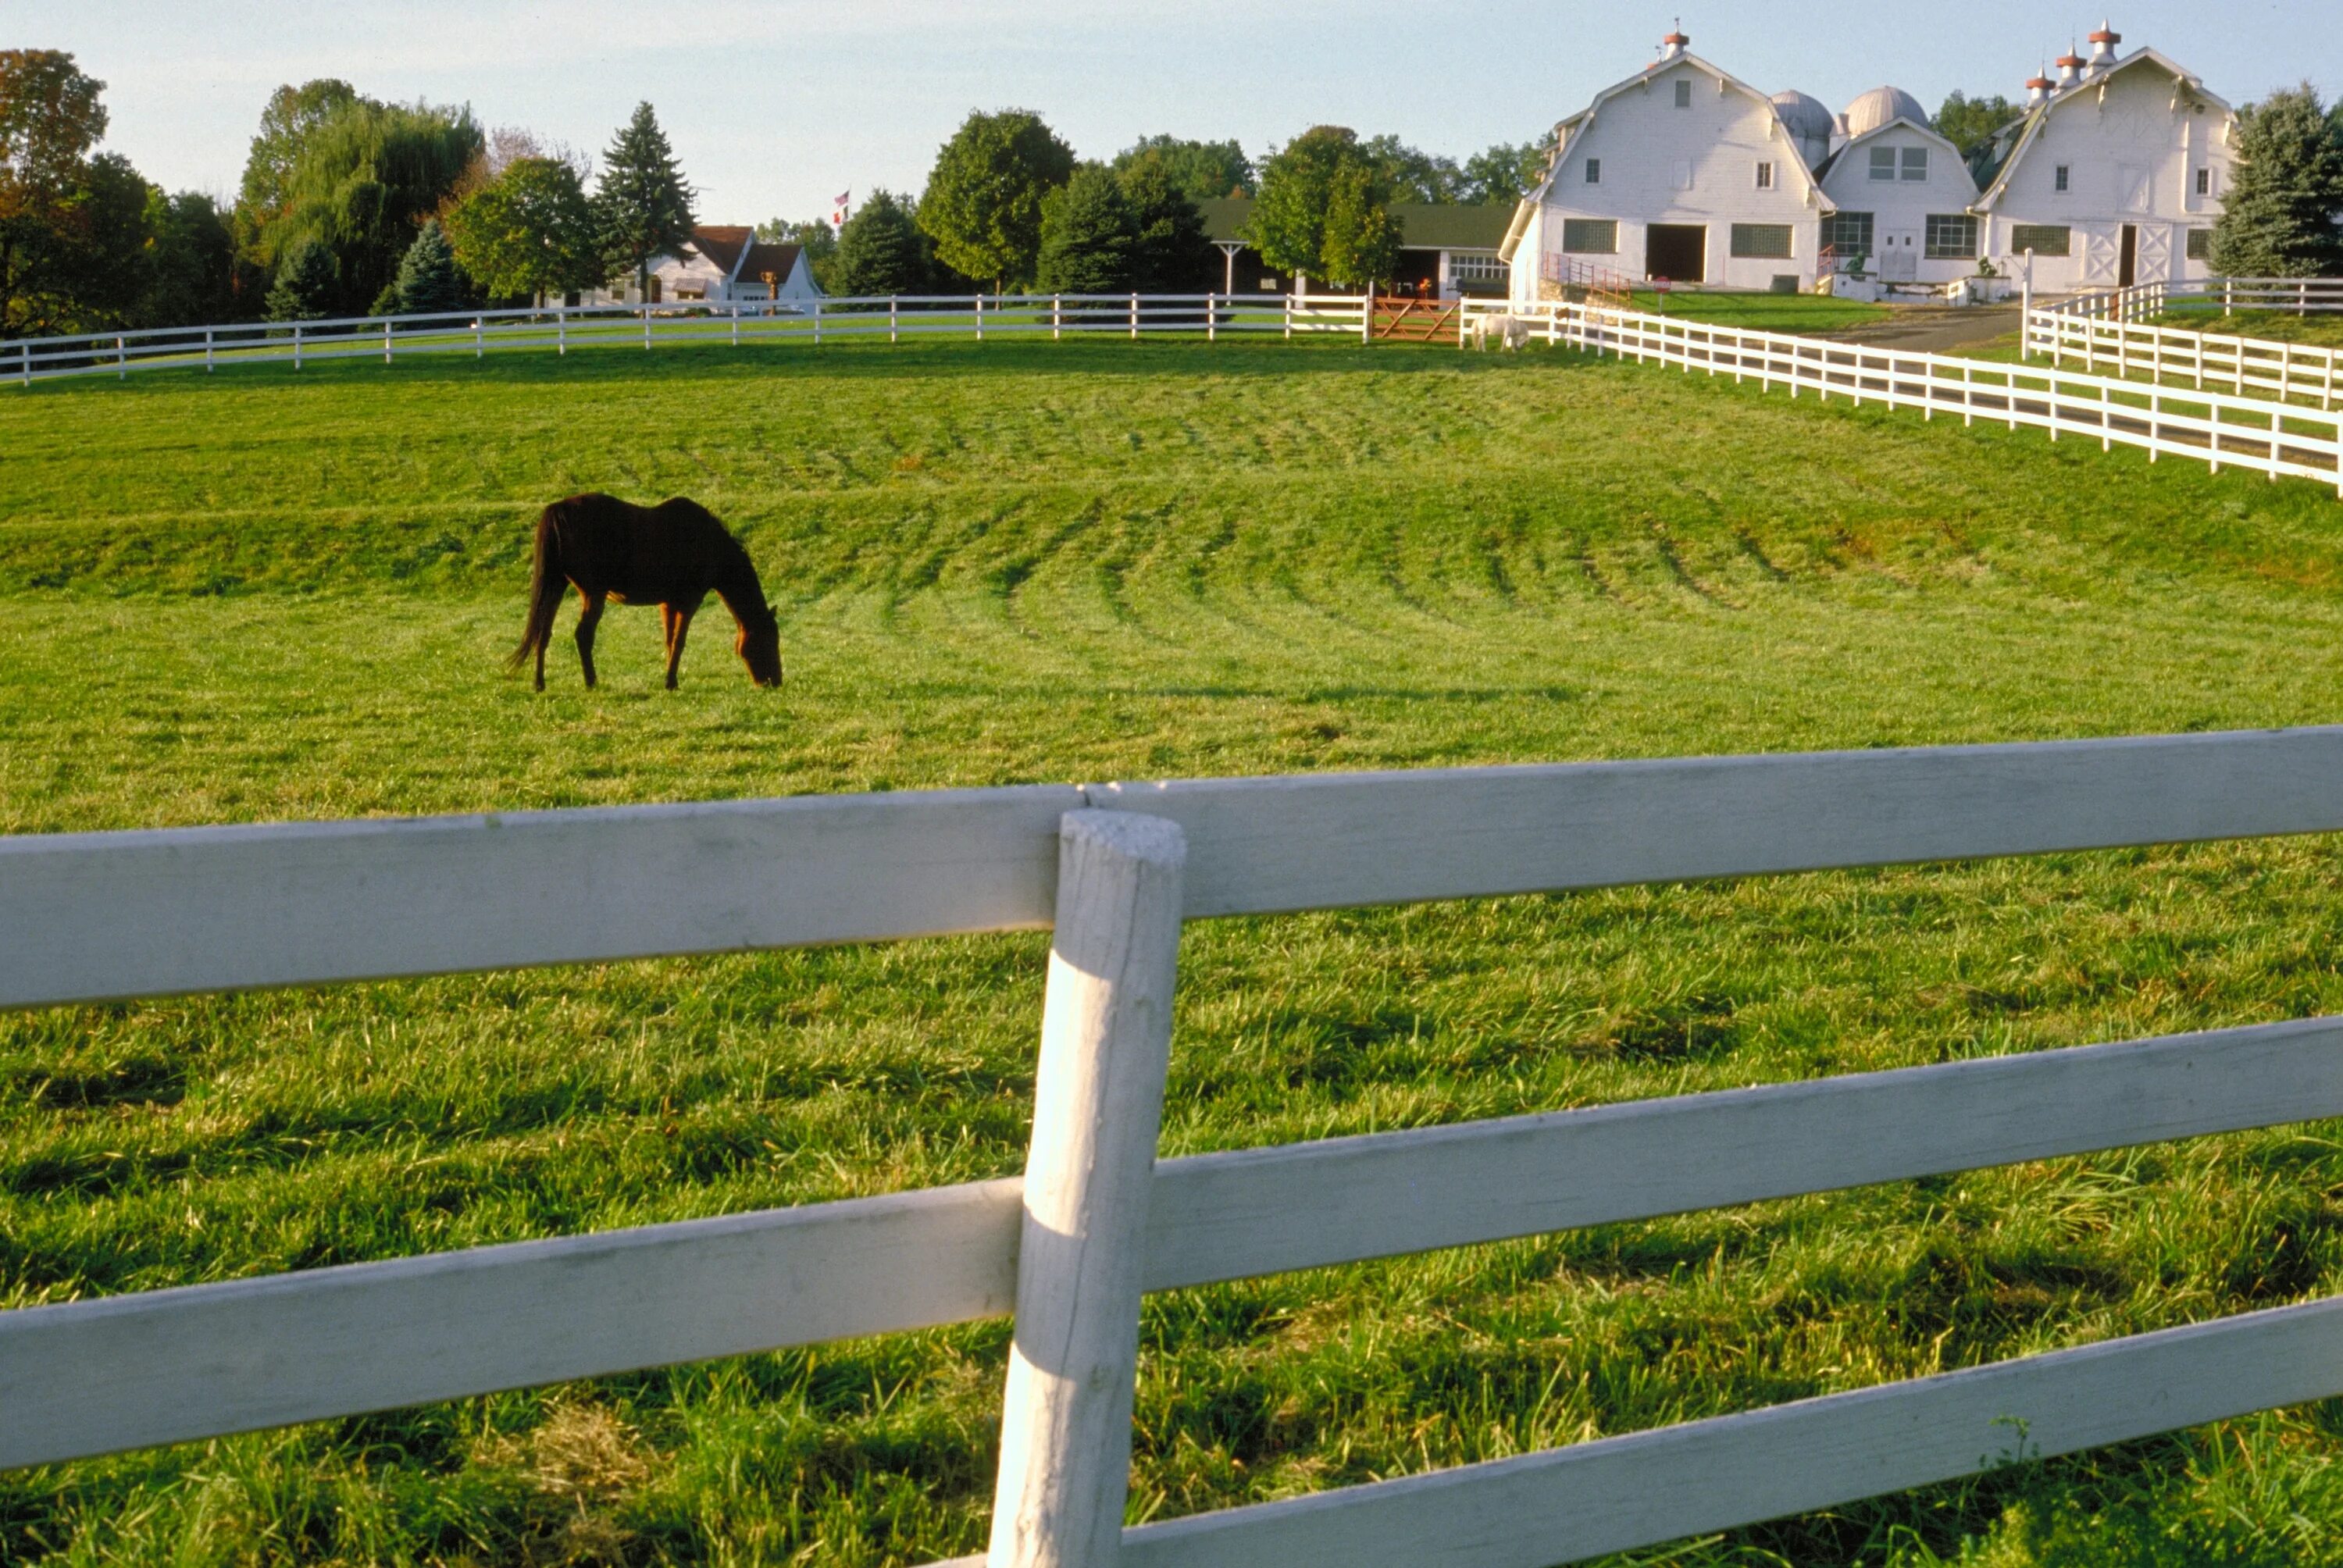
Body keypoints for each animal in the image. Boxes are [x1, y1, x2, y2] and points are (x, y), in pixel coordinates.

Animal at [508, 490, 783, 684]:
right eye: (770, 640)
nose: (775, 682)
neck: (708, 544)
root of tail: (558, 510)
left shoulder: (668, 603)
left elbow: (669, 641)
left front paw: (669, 679)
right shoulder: (689, 602)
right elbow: (679, 642)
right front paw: (671, 682)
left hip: (556, 586)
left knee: (543, 633)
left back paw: (539, 684)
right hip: (593, 594)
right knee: (583, 635)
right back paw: (591, 682)